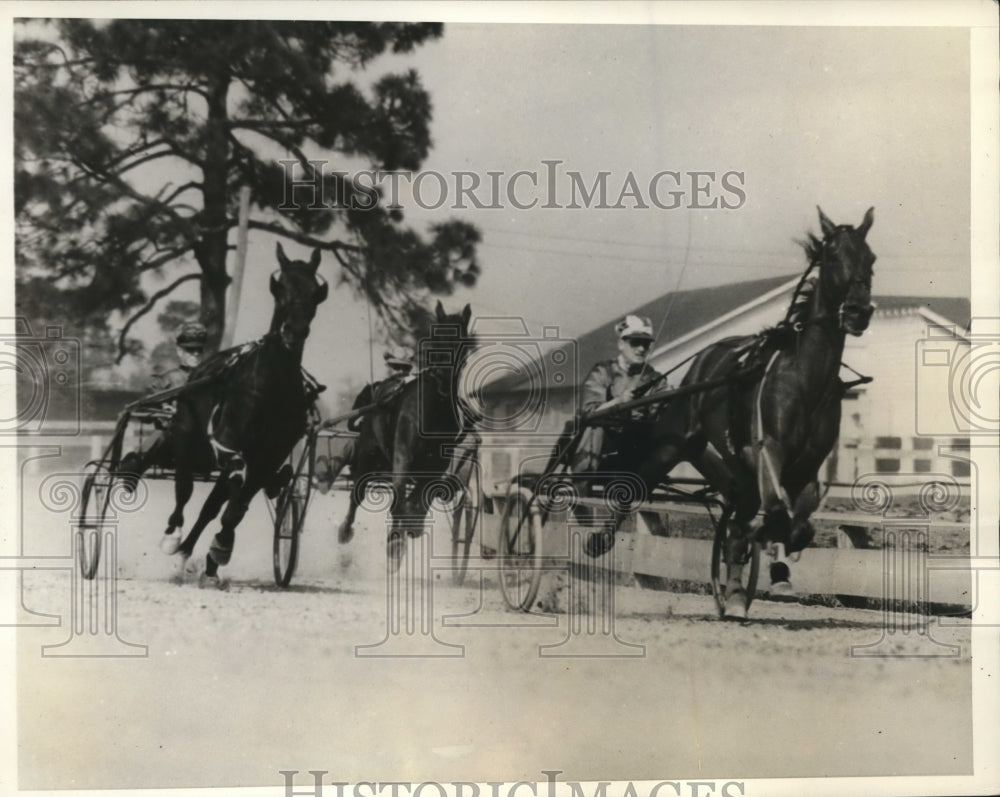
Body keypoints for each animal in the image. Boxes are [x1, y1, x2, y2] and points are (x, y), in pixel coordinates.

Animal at [163, 243, 328, 584]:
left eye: (314, 292)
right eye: (280, 289)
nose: (294, 332)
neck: (271, 387)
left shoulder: (269, 456)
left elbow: (234, 510)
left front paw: (219, 551)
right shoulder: (230, 446)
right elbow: (224, 494)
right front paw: (200, 551)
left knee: (214, 504)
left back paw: (199, 557)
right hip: (185, 432)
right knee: (184, 489)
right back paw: (175, 540)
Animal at [336, 298, 472, 564]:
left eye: (460, 340)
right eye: (434, 338)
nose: (442, 375)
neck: (435, 409)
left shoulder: (438, 463)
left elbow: (422, 496)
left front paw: (412, 526)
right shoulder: (402, 453)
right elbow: (400, 498)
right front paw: (397, 541)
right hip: (368, 453)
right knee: (358, 493)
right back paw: (346, 530)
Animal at [608, 205, 876, 616]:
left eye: (871, 258)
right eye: (833, 256)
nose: (859, 311)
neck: (805, 379)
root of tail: (706, 356)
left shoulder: (808, 466)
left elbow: (798, 526)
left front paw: (777, 567)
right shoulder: (766, 449)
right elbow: (774, 517)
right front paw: (767, 546)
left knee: (741, 516)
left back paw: (735, 591)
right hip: (675, 442)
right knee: (641, 483)